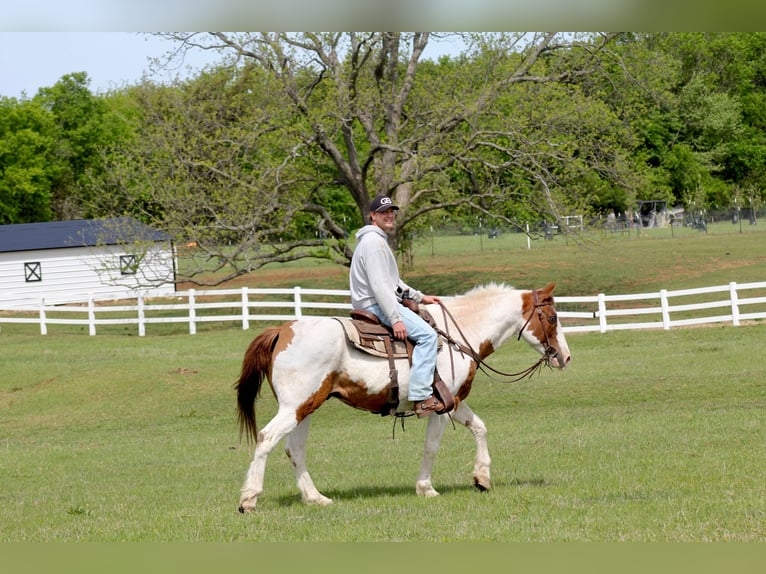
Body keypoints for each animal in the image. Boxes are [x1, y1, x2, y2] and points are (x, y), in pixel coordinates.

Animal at [235, 282, 571, 512]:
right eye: (552, 318)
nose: (565, 357)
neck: (459, 334)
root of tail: (282, 330)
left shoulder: (454, 401)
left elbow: (479, 427)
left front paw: (482, 478)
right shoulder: (440, 407)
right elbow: (432, 446)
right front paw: (426, 488)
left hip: (306, 407)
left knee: (295, 450)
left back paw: (315, 497)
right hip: (294, 407)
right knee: (266, 438)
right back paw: (249, 499)